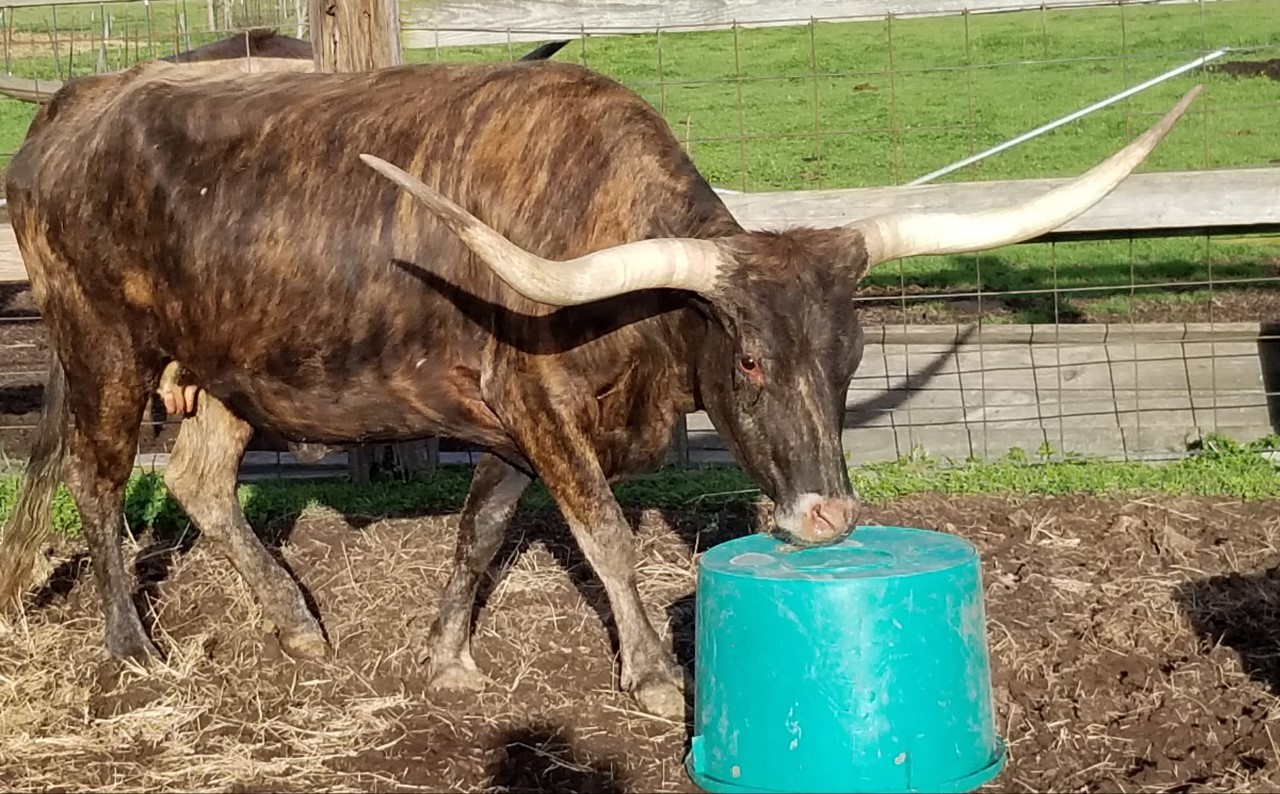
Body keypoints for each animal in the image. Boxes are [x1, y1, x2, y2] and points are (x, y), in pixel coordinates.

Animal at [0, 54, 1198, 720]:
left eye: (850, 356)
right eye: (749, 360)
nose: (826, 520)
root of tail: (77, 101)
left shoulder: (504, 429)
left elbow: (480, 535)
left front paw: (446, 658)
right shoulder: (539, 411)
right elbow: (605, 536)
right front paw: (652, 674)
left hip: (225, 370)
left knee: (198, 481)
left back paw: (297, 625)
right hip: (105, 351)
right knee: (98, 488)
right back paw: (135, 650)